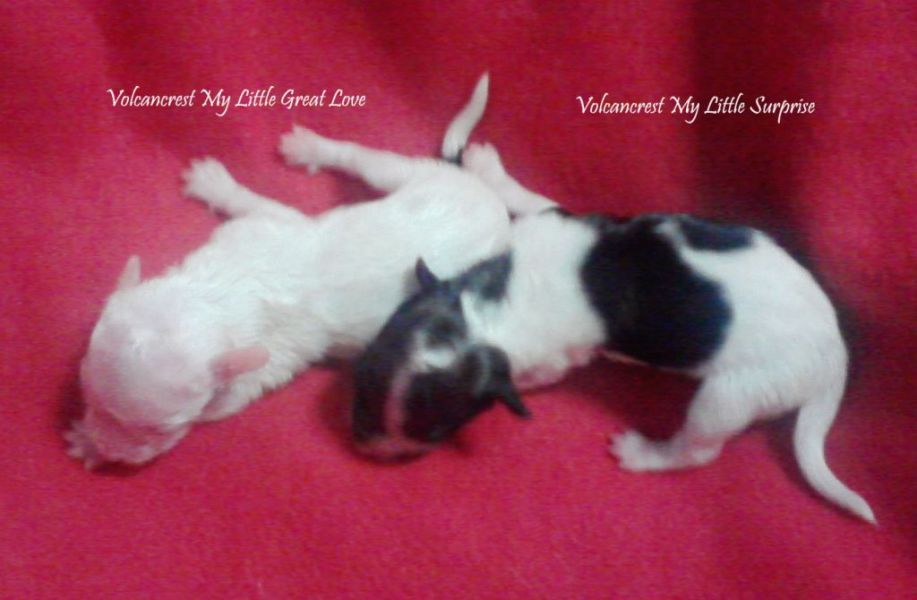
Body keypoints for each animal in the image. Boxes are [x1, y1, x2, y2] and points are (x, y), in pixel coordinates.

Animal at [67, 74, 533, 468]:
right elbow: (253, 205)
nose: (110, 450)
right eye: (87, 391)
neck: (222, 296)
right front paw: (213, 184)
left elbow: (229, 398)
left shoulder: (270, 358)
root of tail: (487, 195)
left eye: (161, 429)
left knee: (365, 158)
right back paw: (309, 149)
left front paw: (90, 444)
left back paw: (313, 147)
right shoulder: (257, 229)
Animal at [351, 142, 875, 524]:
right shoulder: (551, 224)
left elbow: (537, 377)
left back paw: (646, 453)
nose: (364, 447)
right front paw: (488, 167)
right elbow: (534, 201)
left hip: (733, 394)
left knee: (700, 448)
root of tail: (835, 358)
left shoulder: (552, 360)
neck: (488, 316)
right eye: (366, 374)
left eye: (436, 430)